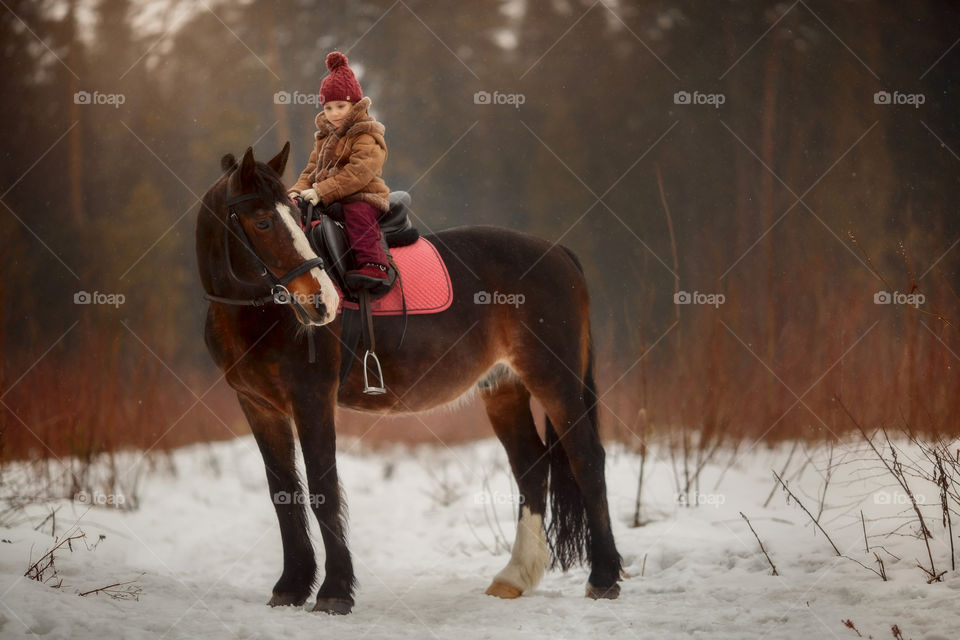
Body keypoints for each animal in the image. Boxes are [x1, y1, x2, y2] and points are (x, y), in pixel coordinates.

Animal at [195, 142, 624, 612]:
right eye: (263, 220)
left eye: (291, 214)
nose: (322, 301)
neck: (254, 315)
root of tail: (559, 253)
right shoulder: (259, 406)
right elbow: (283, 493)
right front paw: (291, 586)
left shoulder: (312, 399)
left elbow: (323, 488)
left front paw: (334, 592)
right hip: (504, 388)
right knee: (531, 467)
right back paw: (514, 576)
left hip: (554, 380)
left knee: (587, 459)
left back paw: (604, 577)